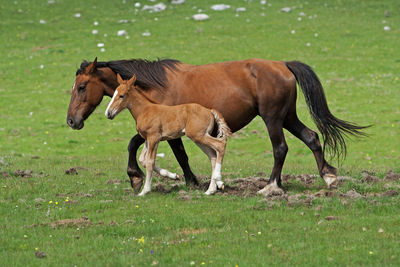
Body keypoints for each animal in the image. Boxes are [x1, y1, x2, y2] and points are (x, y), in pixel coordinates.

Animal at [66, 57, 368, 196]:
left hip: (272, 119)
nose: (71, 120)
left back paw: (271, 186)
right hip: (287, 117)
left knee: (281, 148)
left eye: (81, 87)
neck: (153, 86)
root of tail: (282, 64)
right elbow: (144, 148)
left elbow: (175, 155)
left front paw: (146, 178)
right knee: (312, 137)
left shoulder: (167, 131)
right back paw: (327, 177)